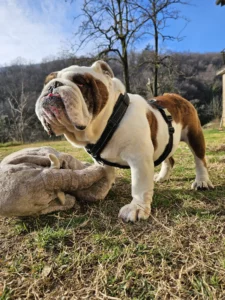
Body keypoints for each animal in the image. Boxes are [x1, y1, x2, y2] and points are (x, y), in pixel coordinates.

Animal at [36, 59, 214, 221]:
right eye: (46, 83)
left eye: (80, 82)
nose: (53, 85)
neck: (109, 120)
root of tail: (175, 96)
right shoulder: (101, 161)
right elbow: (106, 174)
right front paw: (102, 188)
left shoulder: (139, 159)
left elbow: (139, 185)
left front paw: (136, 208)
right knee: (168, 159)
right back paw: (162, 177)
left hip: (195, 135)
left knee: (200, 160)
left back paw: (202, 182)